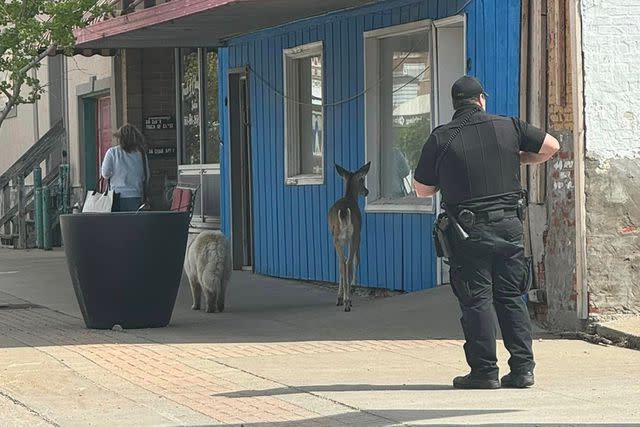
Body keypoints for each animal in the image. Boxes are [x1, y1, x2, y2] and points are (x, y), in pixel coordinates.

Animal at [328, 162, 372, 312]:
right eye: (362, 180)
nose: (366, 191)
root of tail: (343, 212)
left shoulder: (340, 240)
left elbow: (340, 264)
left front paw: (341, 297)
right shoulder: (359, 234)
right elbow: (357, 259)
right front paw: (351, 288)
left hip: (336, 238)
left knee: (342, 262)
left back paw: (342, 299)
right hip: (354, 235)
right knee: (349, 262)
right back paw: (348, 300)